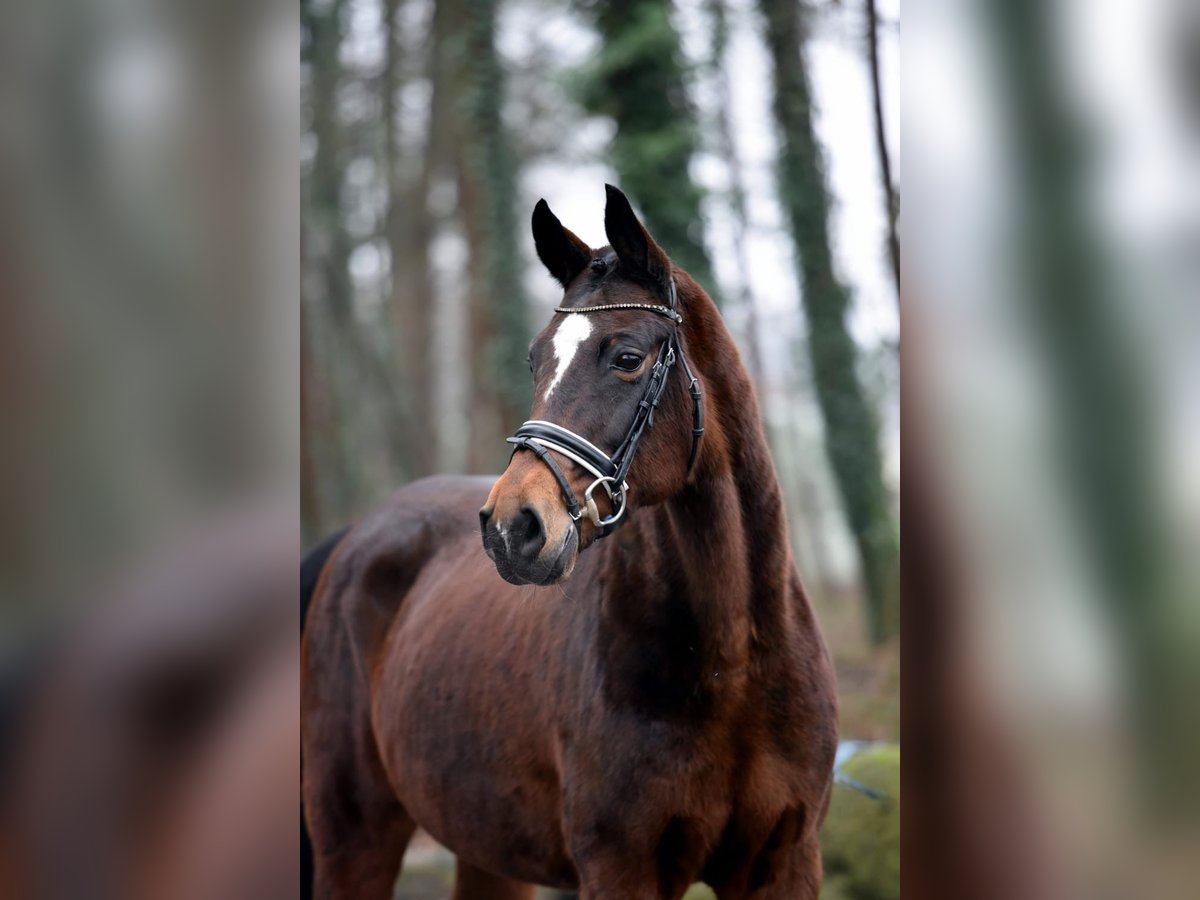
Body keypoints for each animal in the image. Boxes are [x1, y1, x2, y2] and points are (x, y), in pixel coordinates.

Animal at [302, 184, 835, 900]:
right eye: (536, 360)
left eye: (628, 358)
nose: (512, 527)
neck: (732, 664)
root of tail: (354, 540)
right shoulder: (618, 866)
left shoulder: (787, 860)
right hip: (353, 835)